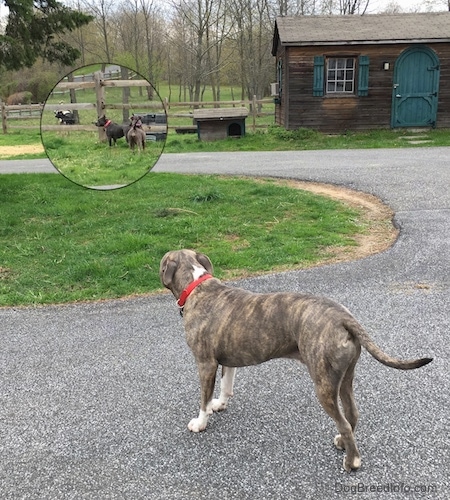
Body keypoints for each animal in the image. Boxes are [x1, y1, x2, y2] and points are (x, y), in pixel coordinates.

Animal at [161, 250, 432, 472]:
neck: (196, 285)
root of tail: (343, 317)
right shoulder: (227, 360)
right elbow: (226, 386)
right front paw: (220, 404)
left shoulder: (205, 363)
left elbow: (203, 399)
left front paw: (200, 422)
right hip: (345, 378)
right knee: (351, 414)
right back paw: (343, 443)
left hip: (323, 384)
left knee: (344, 422)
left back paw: (352, 461)